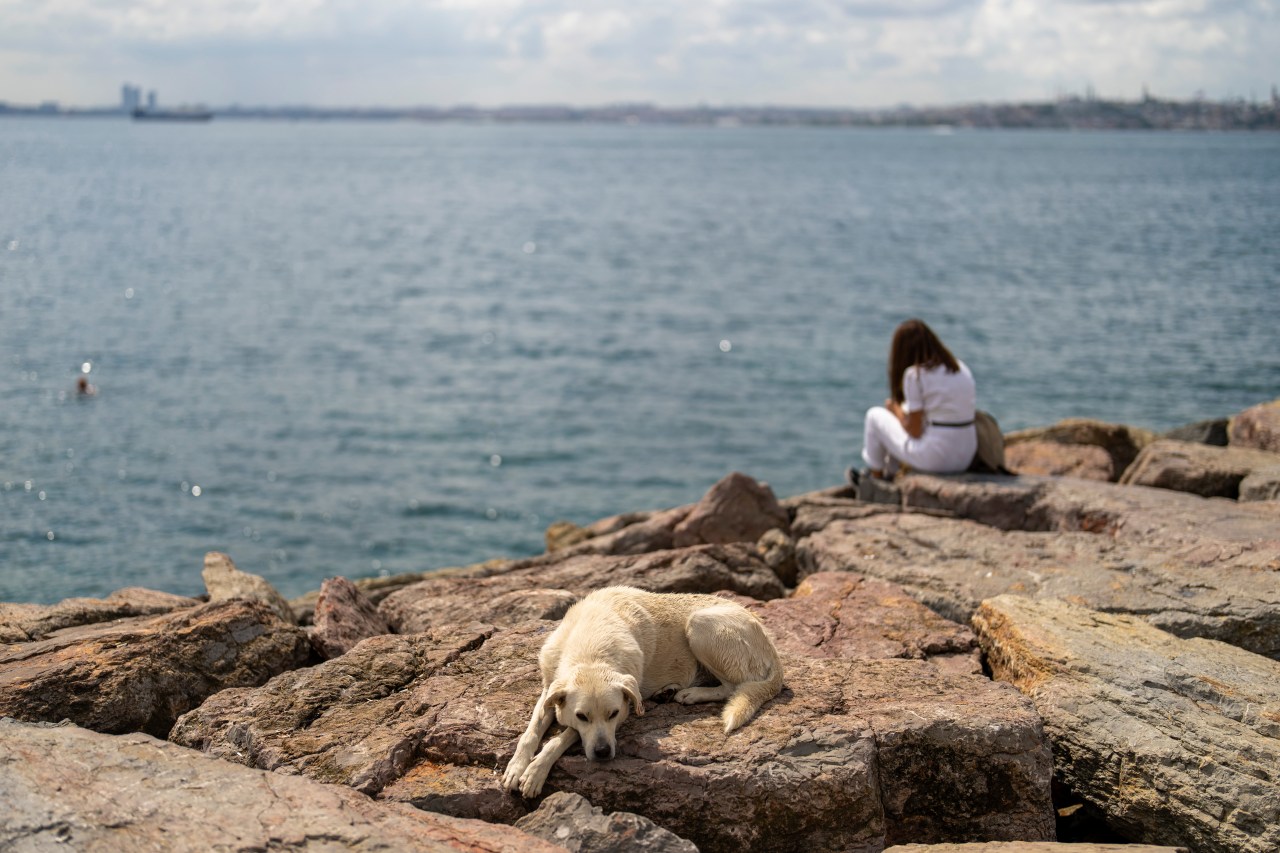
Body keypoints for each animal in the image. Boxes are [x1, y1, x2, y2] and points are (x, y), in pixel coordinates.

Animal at [496, 581, 778, 794]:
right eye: (582, 716)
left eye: (614, 714)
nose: (603, 753)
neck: (591, 649)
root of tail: (771, 644)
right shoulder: (549, 689)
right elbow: (530, 733)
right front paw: (516, 767)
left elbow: (561, 738)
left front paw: (535, 771)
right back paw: (668, 691)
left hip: (700, 624)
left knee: (733, 686)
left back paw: (691, 694)